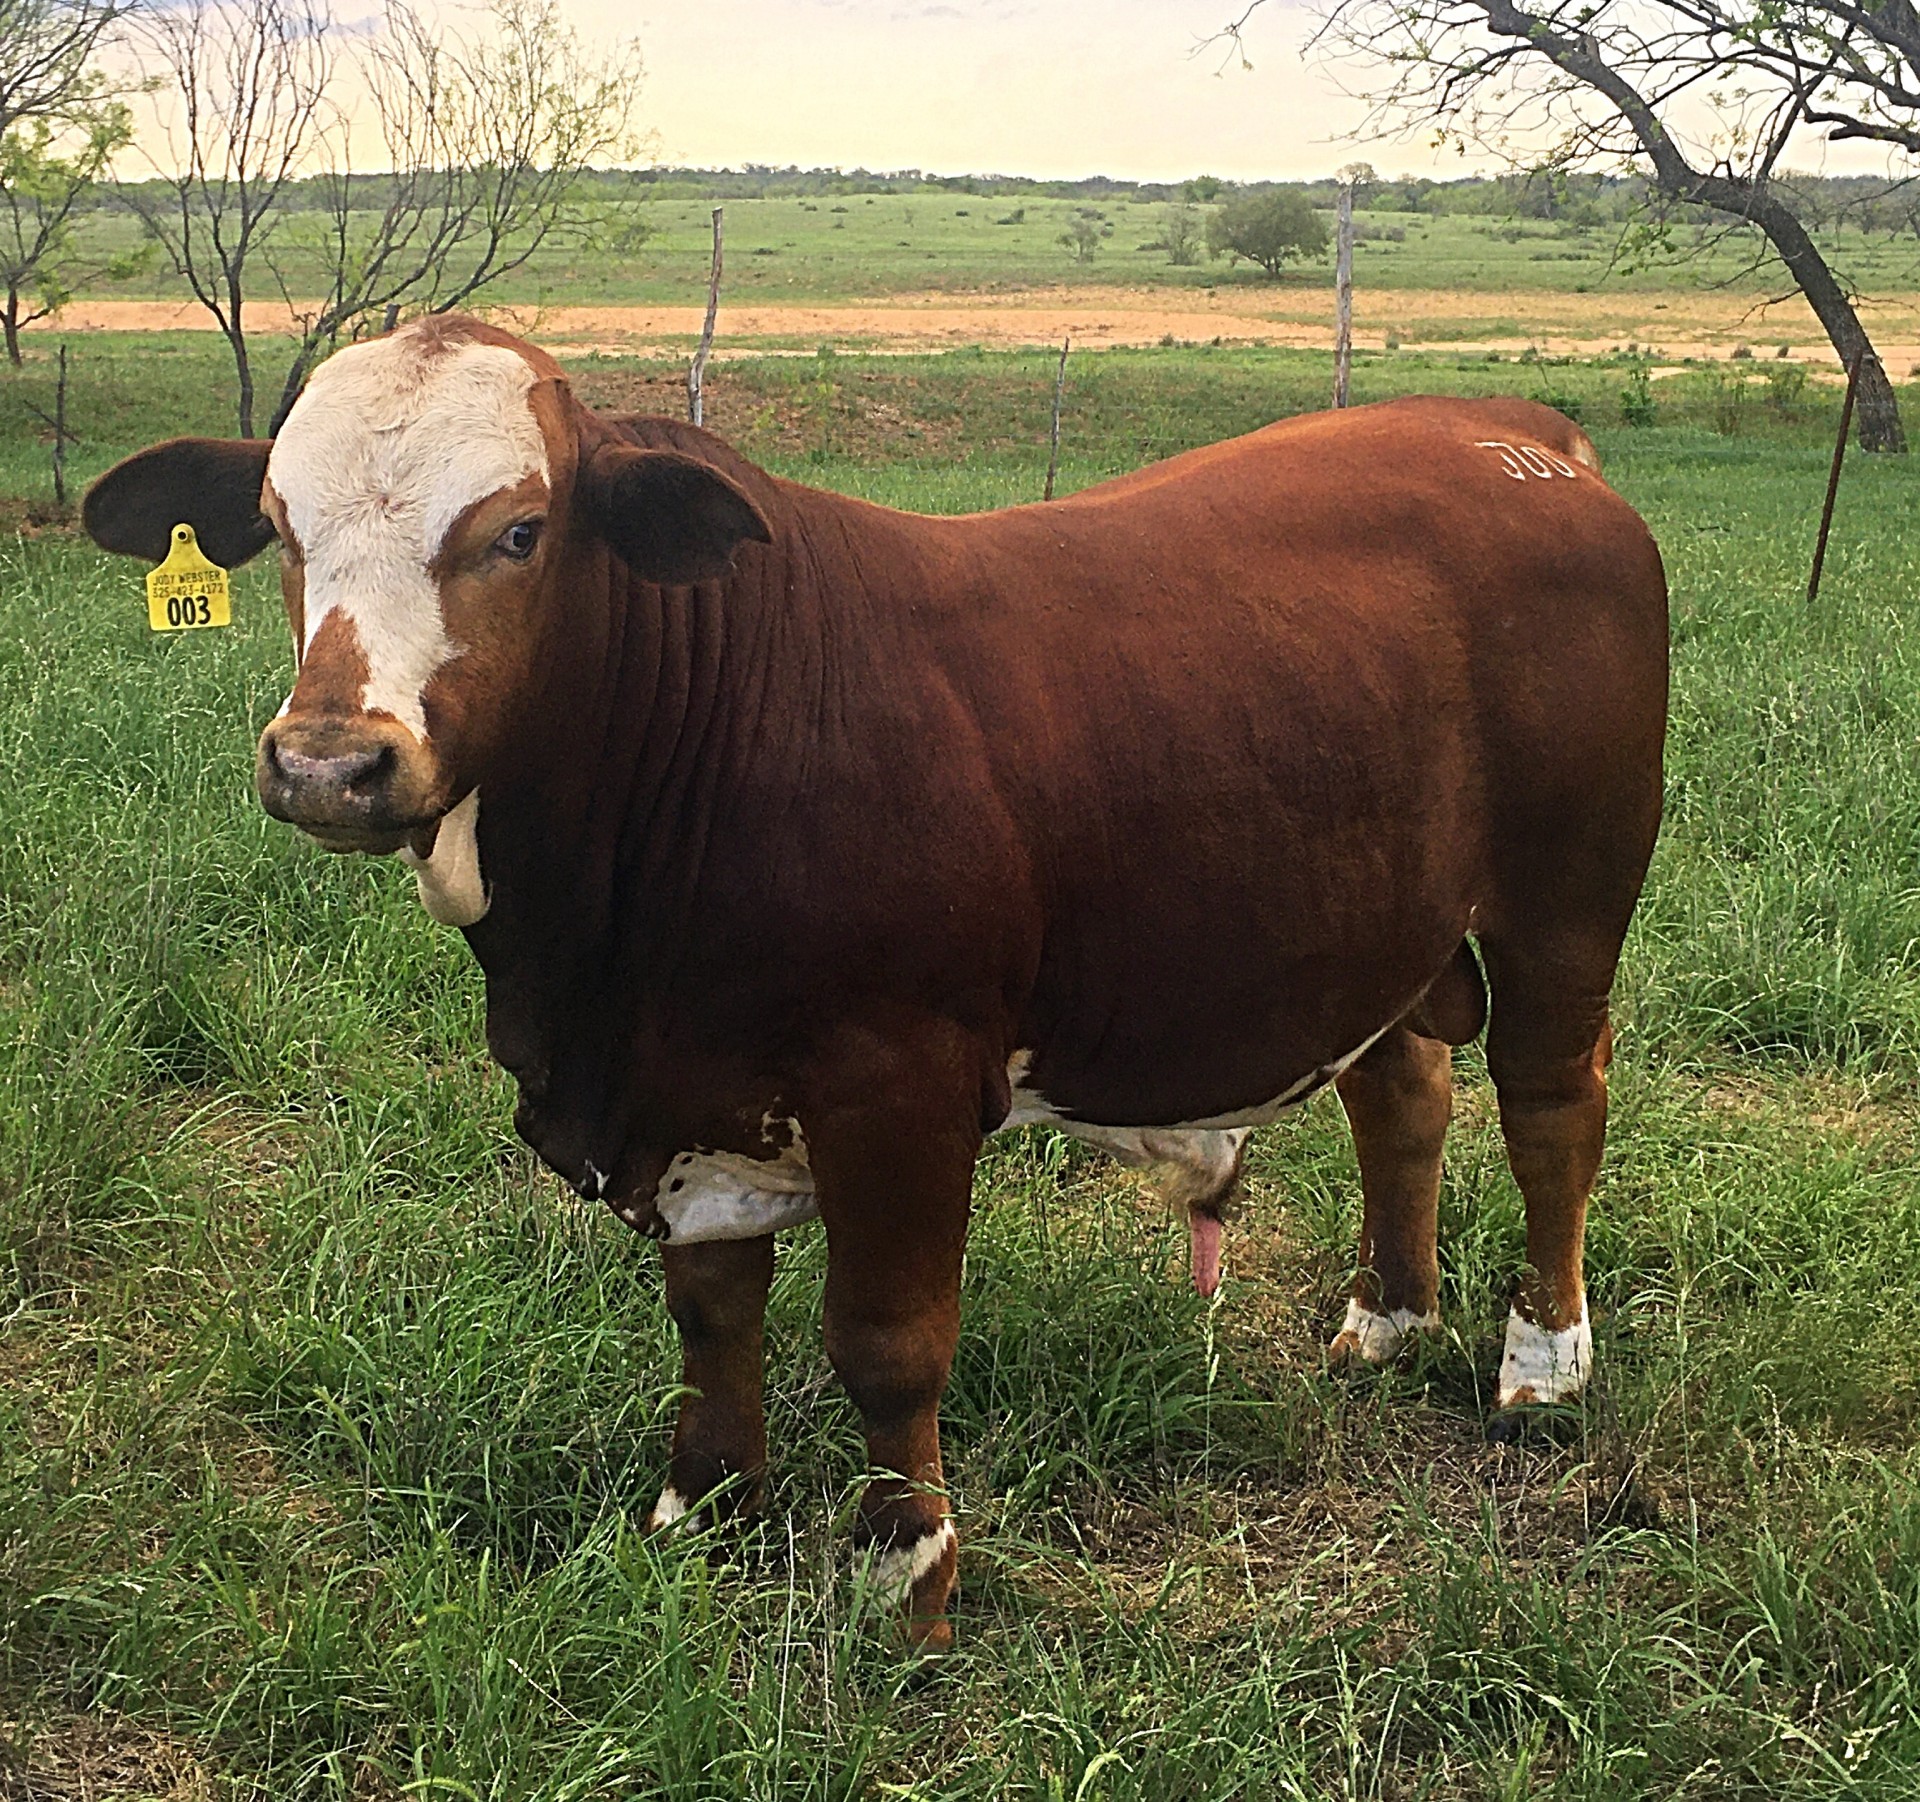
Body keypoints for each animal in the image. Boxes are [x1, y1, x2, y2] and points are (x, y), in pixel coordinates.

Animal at [82, 320, 1666, 1650]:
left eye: (519, 532)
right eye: (283, 530)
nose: (327, 763)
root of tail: (1516, 434)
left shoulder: (897, 1090)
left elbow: (889, 1344)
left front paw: (907, 1569)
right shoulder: (696, 1097)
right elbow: (713, 1318)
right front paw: (702, 1510)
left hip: (1565, 902)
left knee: (1550, 1103)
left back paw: (1542, 1359)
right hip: (1374, 925)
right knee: (1405, 1091)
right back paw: (1386, 1320)